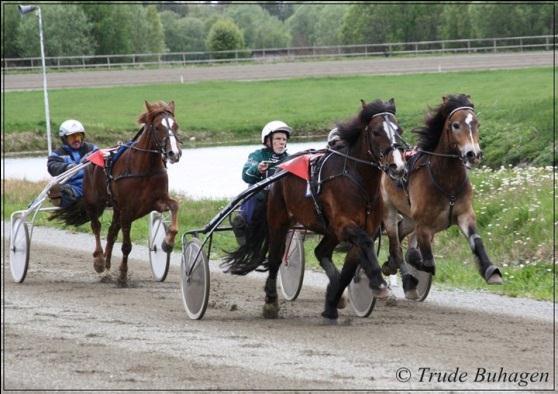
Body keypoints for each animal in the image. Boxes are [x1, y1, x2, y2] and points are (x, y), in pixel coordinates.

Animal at [50, 101, 184, 286]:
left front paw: (168, 243)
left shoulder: (156, 201)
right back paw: (100, 261)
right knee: (97, 227)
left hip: (117, 209)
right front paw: (122, 274)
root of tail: (89, 158)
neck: (144, 168)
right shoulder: (127, 209)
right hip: (94, 203)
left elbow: (175, 206)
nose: (174, 153)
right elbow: (126, 245)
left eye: (175, 125)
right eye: (158, 127)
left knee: (112, 231)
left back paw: (107, 266)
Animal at [222, 98, 406, 320]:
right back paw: (271, 303)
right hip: (278, 221)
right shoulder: (345, 224)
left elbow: (349, 269)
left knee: (320, 251)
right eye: (376, 132)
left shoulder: (361, 228)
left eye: (399, 130)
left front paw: (332, 303)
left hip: (329, 230)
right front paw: (379, 284)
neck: (357, 180)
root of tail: (277, 170)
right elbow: (366, 243)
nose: (398, 166)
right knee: (275, 259)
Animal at [382, 93, 506, 298]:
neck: (447, 182)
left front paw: (491, 271)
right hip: (390, 209)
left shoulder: (465, 214)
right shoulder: (424, 224)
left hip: (408, 218)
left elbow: (477, 242)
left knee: (400, 235)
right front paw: (414, 260)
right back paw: (403, 275)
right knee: (395, 240)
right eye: (455, 125)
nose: (473, 154)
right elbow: (425, 260)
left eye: (477, 124)